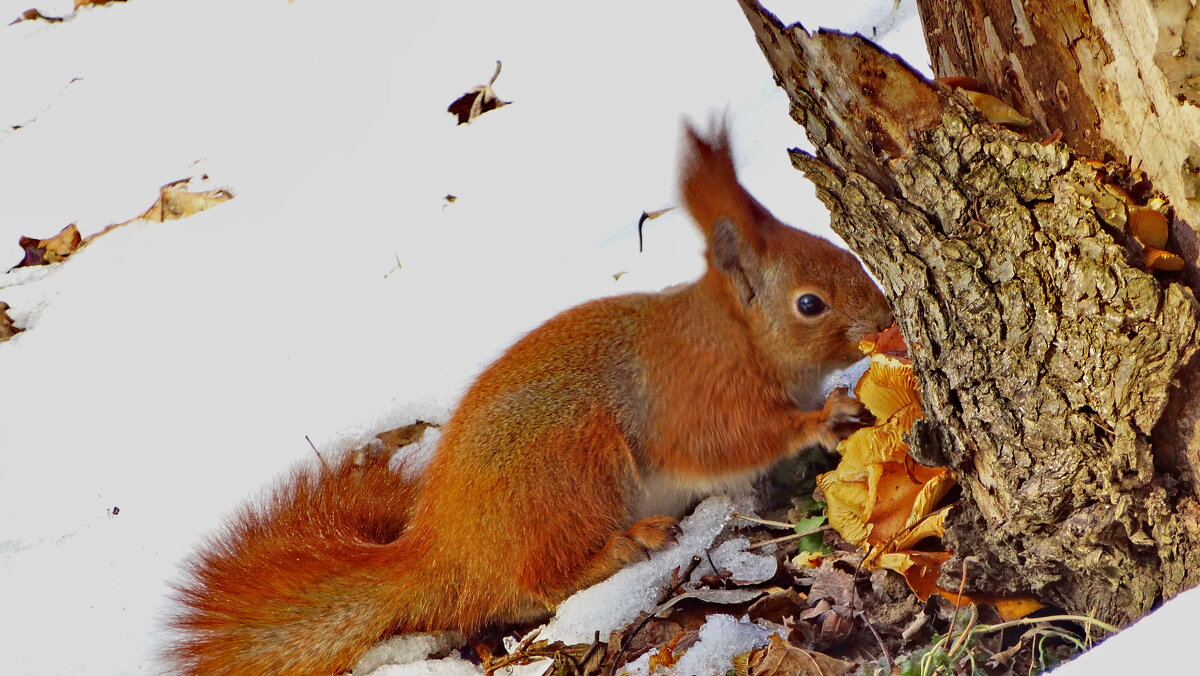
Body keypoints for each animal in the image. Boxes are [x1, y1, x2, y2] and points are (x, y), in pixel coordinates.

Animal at [169, 123, 892, 676]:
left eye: (837, 249)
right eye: (809, 304)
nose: (885, 317)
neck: (732, 336)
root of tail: (444, 553)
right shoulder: (692, 397)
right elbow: (726, 443)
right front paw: (822, 420)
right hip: (568, 468)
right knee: (534, 585)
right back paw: (623, 547)